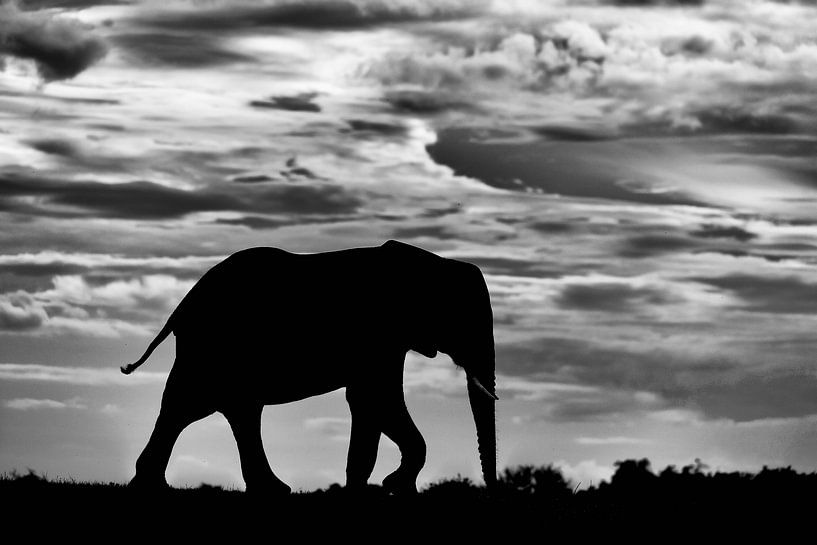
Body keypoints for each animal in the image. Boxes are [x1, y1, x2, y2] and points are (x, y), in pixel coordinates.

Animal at [117, 239, 494, 492]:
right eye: (461, 315)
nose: (491, 490)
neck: (432, 263)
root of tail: (183, 305)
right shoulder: (378, 334)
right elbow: (377, 399)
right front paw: (392, 486)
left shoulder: (385, 341)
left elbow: (367, 402)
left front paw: (375, 488)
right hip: (213, 347)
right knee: (189, 406)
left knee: (231, 410)